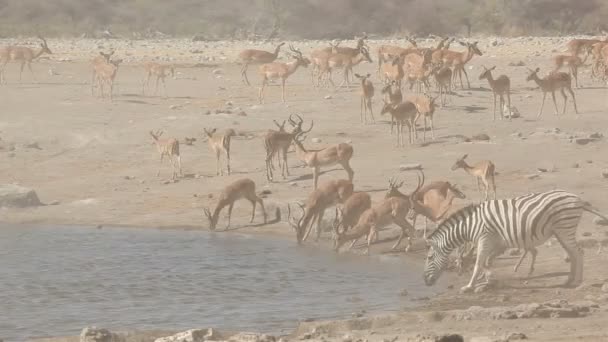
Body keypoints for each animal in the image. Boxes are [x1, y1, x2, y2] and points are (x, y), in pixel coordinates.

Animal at [422, 188, 608, 292]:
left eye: (430, 257)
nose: (425, 282)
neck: (470, 225)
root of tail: (578, 199)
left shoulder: (484, 238)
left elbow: (478, 263)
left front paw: (469, 286)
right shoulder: (496, 242)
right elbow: (487, 262)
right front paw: (489, 280)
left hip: (565, 228)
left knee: (578, 252)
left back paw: (577, 281)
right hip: (560, 231)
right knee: (573, 253)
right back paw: (569, 280)